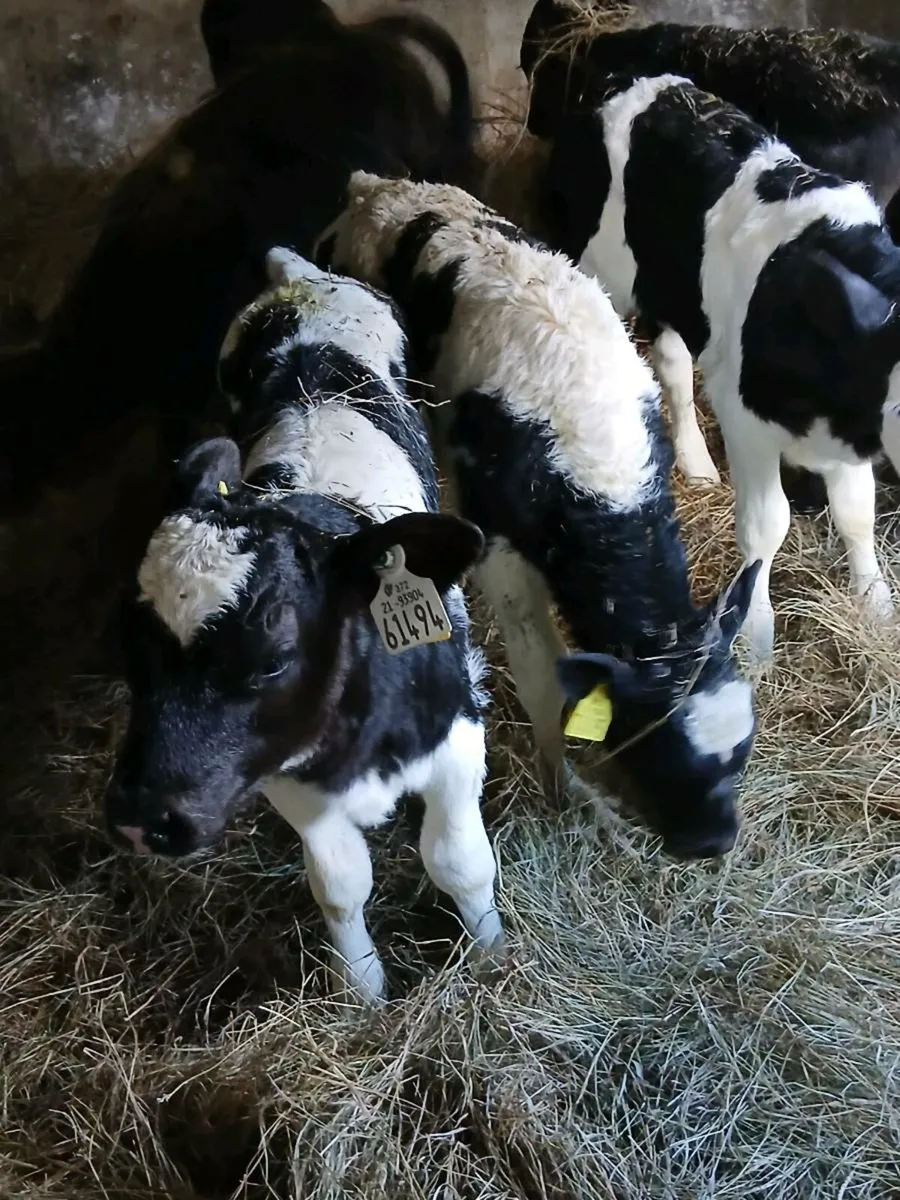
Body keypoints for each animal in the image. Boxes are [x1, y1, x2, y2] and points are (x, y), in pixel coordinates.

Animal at [105, 251, 503, 1003]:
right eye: (129, 647)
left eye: (273, 657)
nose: (143, 822)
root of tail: (302, 276)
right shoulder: (282, 771)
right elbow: (341, 885)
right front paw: (365, 994)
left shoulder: (459, 737)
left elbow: (459, 860)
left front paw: (493, 954)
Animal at [318, 170, 761, 861]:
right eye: (658, 751)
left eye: (742, 752)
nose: (713, 843)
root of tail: (378, 185)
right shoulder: (499, 544)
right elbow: (543, 678)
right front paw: (569, 791)